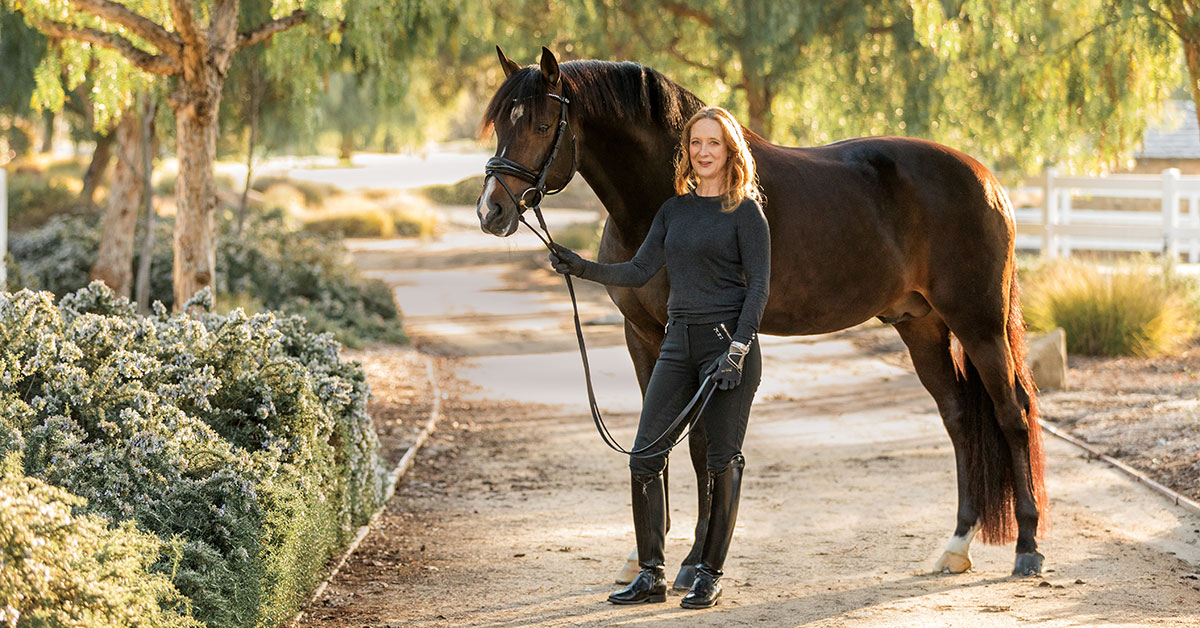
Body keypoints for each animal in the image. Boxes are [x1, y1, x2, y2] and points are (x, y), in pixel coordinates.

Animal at [476, 46, 1048, 585]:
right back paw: (956, 546)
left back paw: (1028, 548)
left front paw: (691, 562)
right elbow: (654, 435)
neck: (666, 200)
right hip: (921, 325)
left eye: (542, 126)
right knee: (958, 417)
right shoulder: (643, 336)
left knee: (1012, 414)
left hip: (979, 324)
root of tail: (987, 180)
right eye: (501, 123)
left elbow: (699, 445)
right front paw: (642, 558)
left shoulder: (698, 346)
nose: (490, 212)